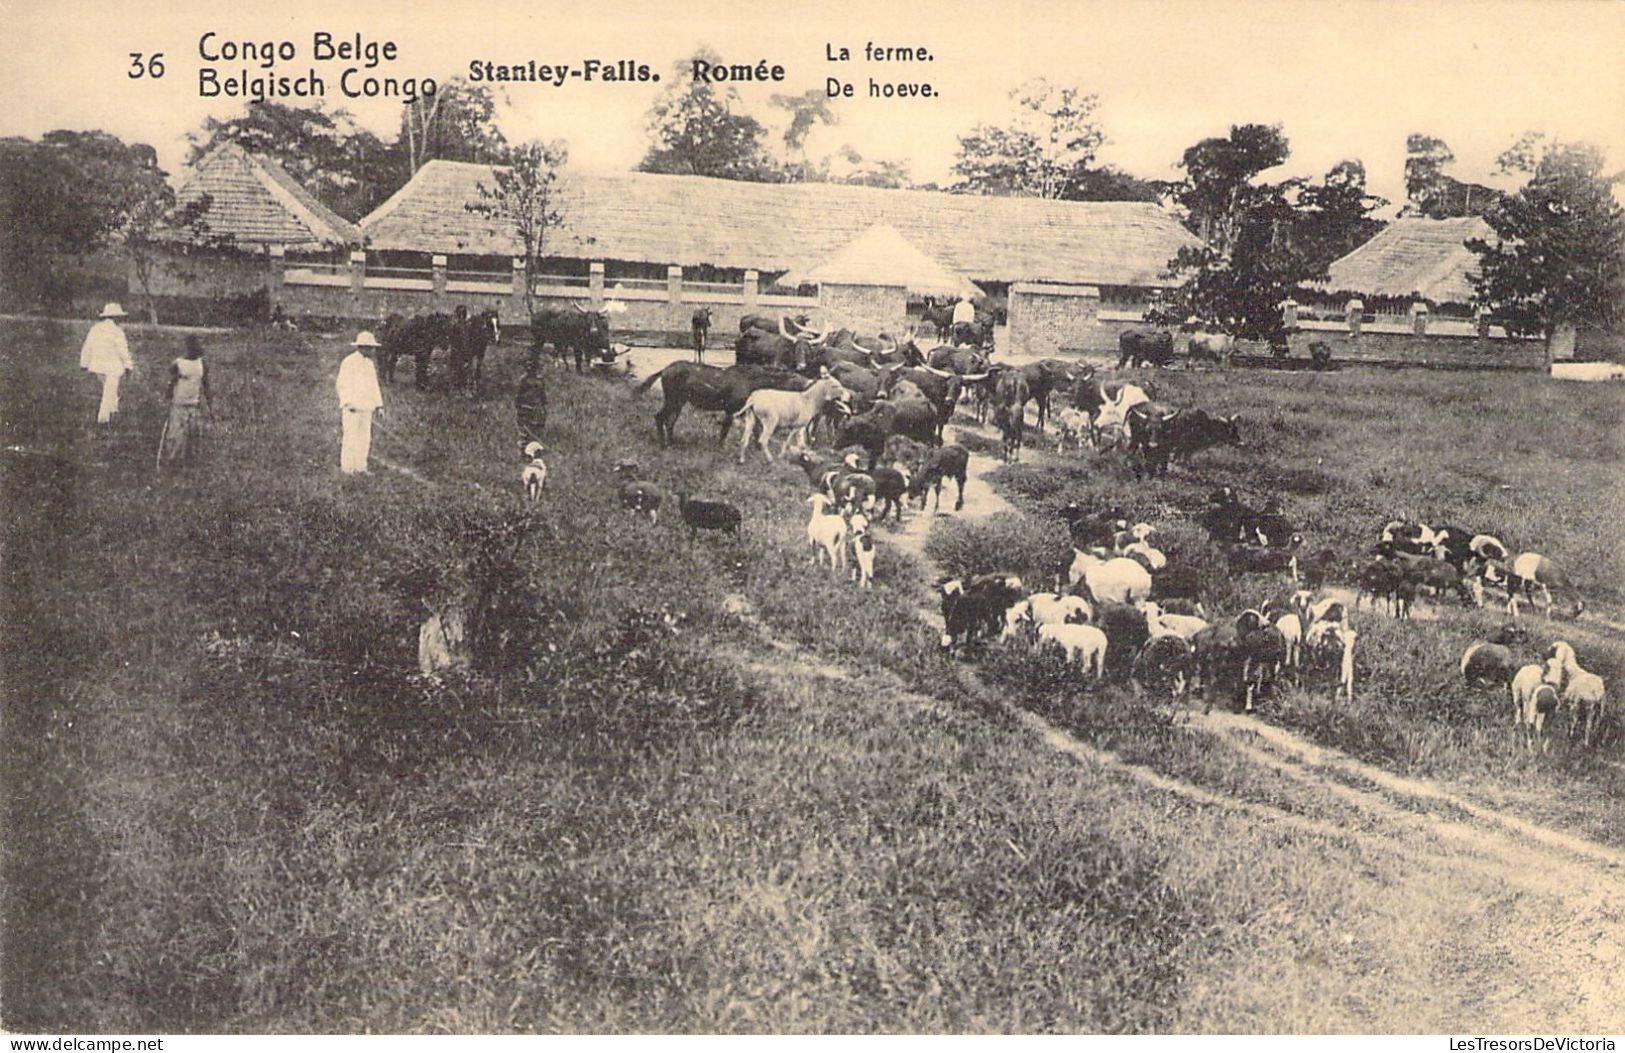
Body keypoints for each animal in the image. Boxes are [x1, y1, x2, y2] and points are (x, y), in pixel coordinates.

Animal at [633, 359, 812, 445]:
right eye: (793, 375)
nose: (809, 381)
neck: (753, 382)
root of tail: (663, 370)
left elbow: (755, 430)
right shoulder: (731, 408)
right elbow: (725, 430)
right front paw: (720, 446)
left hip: (679, 401)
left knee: (669, 421)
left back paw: (672, 441)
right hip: (673, 399)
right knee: (660, 417)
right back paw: (664, 443)